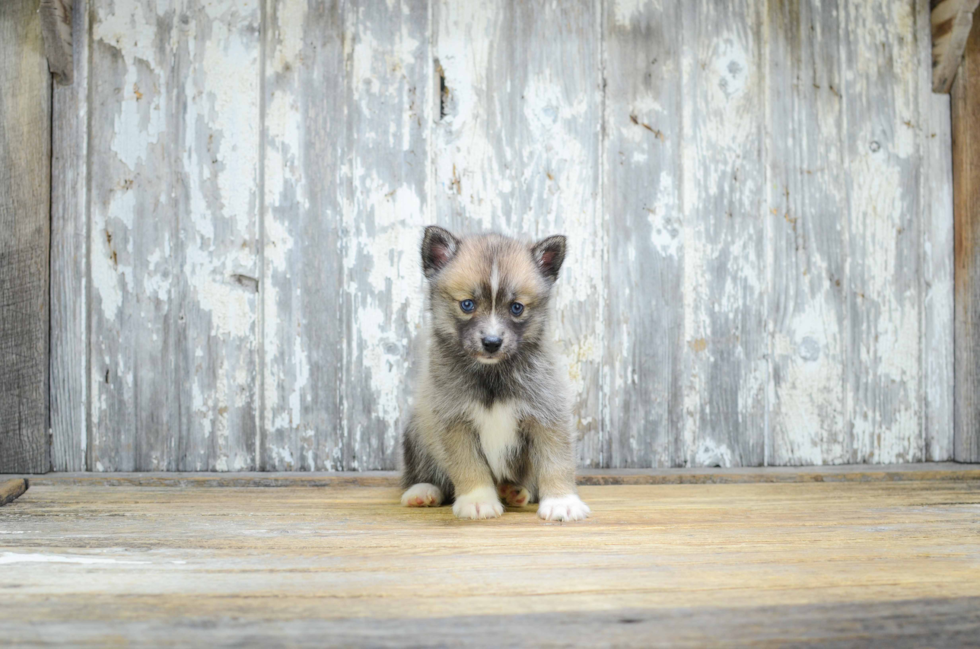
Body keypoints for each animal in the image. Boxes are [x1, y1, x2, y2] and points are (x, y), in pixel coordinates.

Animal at [398, 227, 588, 520]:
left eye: (516, 307)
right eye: (467, 304)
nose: (491, 342)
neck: (492, 373)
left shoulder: (547, 413)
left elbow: (556, 459)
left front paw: (562, 501)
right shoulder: (454, 420)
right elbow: (467, 464)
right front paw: (477, 500)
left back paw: (514, 492)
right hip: (416, 428)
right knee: (424, 473)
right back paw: (422, 490)